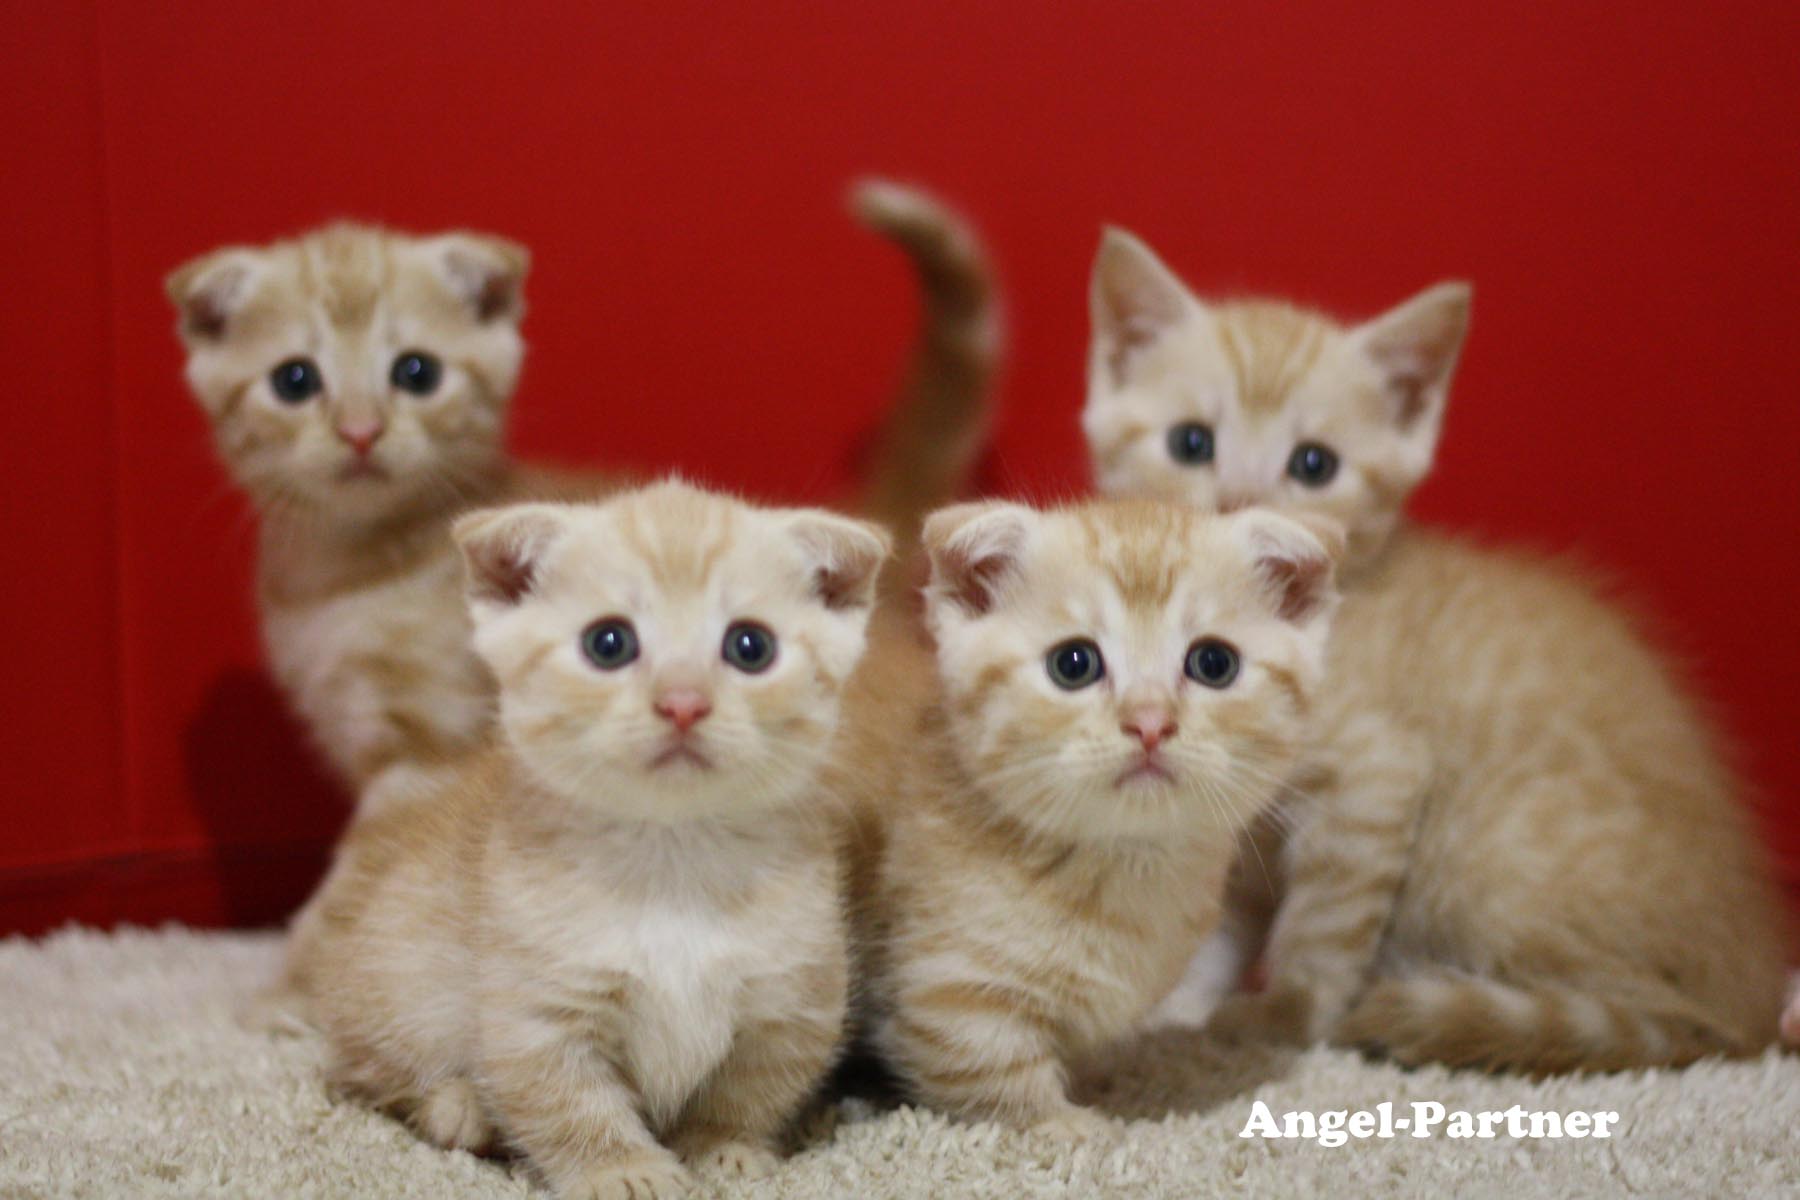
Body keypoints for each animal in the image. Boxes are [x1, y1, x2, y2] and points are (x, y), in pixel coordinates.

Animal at [291, 482, 889, 1200]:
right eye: (609, 643)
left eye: (751, 646)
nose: (682, 702)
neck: (673, 862)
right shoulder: (538, 1007)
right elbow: (569, 1100)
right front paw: (621, 1169)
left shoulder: (790, 1000)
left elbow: (747, 1091)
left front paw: (724, 1148)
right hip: (393, 975)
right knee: (367, 1074)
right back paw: (459, 1106)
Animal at [849, 496, 1346, 1137]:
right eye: (1074, 664)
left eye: (1213, 663)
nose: (1150, 722)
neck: (1122, 868)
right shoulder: (946, 987)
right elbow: (988, 1068)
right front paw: (1069, 1125)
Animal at [1072, 230, 1792, 1072]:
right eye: (1192, 443)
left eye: (1313, 464)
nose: (1240, 500)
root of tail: (1752, 976)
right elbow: (1221, 920)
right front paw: (1179, 1010)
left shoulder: (1376, 776)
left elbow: (1322, 926)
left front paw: (1280, 1017)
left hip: (1489, 867)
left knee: (1681, 1026)